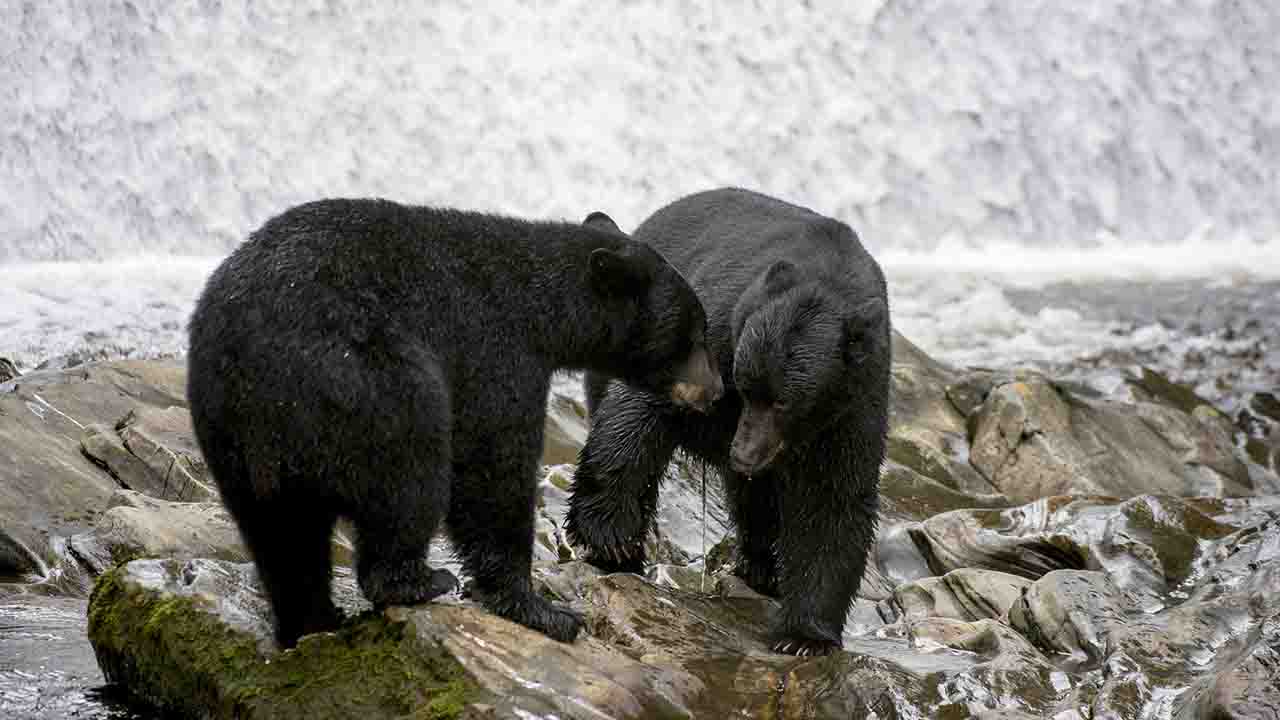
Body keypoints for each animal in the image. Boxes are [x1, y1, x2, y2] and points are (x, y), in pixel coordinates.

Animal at [190, 198, 732, 648]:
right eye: (693, 333)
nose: (718, 390)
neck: (541, 307)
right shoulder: (494, 354)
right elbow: (493, 467)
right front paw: (541, 610)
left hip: (234, 443)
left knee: (284, 539)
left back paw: (313, 620)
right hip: (368, 384)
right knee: (410, 476)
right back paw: (417, 581)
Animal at [570, 188, 890, 653]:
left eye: (784, 403)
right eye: (745, 385)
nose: (741, 454)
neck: (827, 273)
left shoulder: (857, 400)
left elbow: (833, 498)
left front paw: (804, 635)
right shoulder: (718, 326)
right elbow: (640, 415)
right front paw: (609, 537)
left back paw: (763, 566)